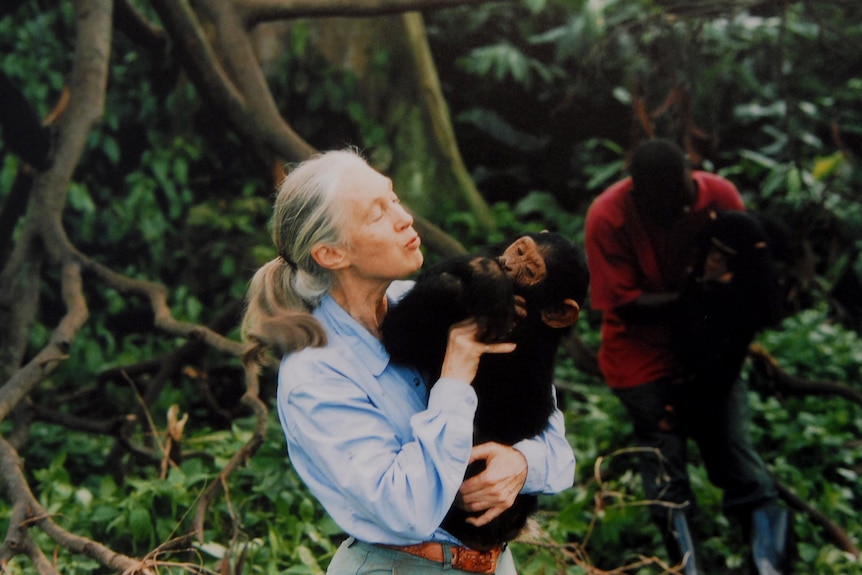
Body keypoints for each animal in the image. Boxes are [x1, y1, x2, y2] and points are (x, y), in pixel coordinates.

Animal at [384, 232, 592, 552]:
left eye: (529, 271)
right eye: (519, 250)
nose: (506, 264)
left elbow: (397, 338)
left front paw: (488, 278)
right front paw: (487, 274)